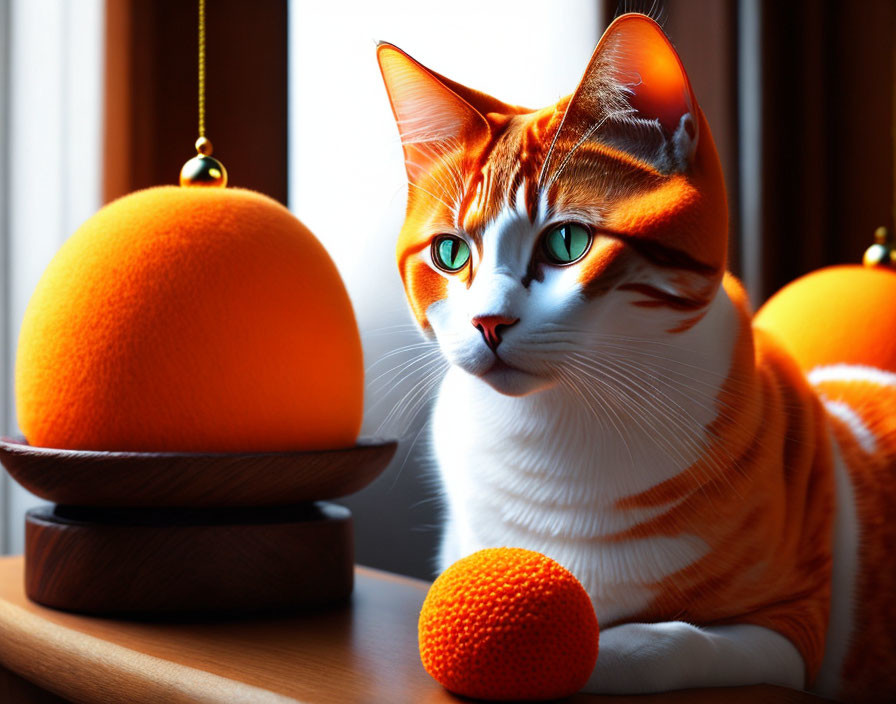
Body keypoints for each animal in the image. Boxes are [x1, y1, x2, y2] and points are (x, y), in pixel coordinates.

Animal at [376, 12, 896, 704]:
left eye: (568, 242)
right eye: (451, 253)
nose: (488, 322)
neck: (558, 437)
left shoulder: (791, 624)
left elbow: (672, 642)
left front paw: (588, 651)